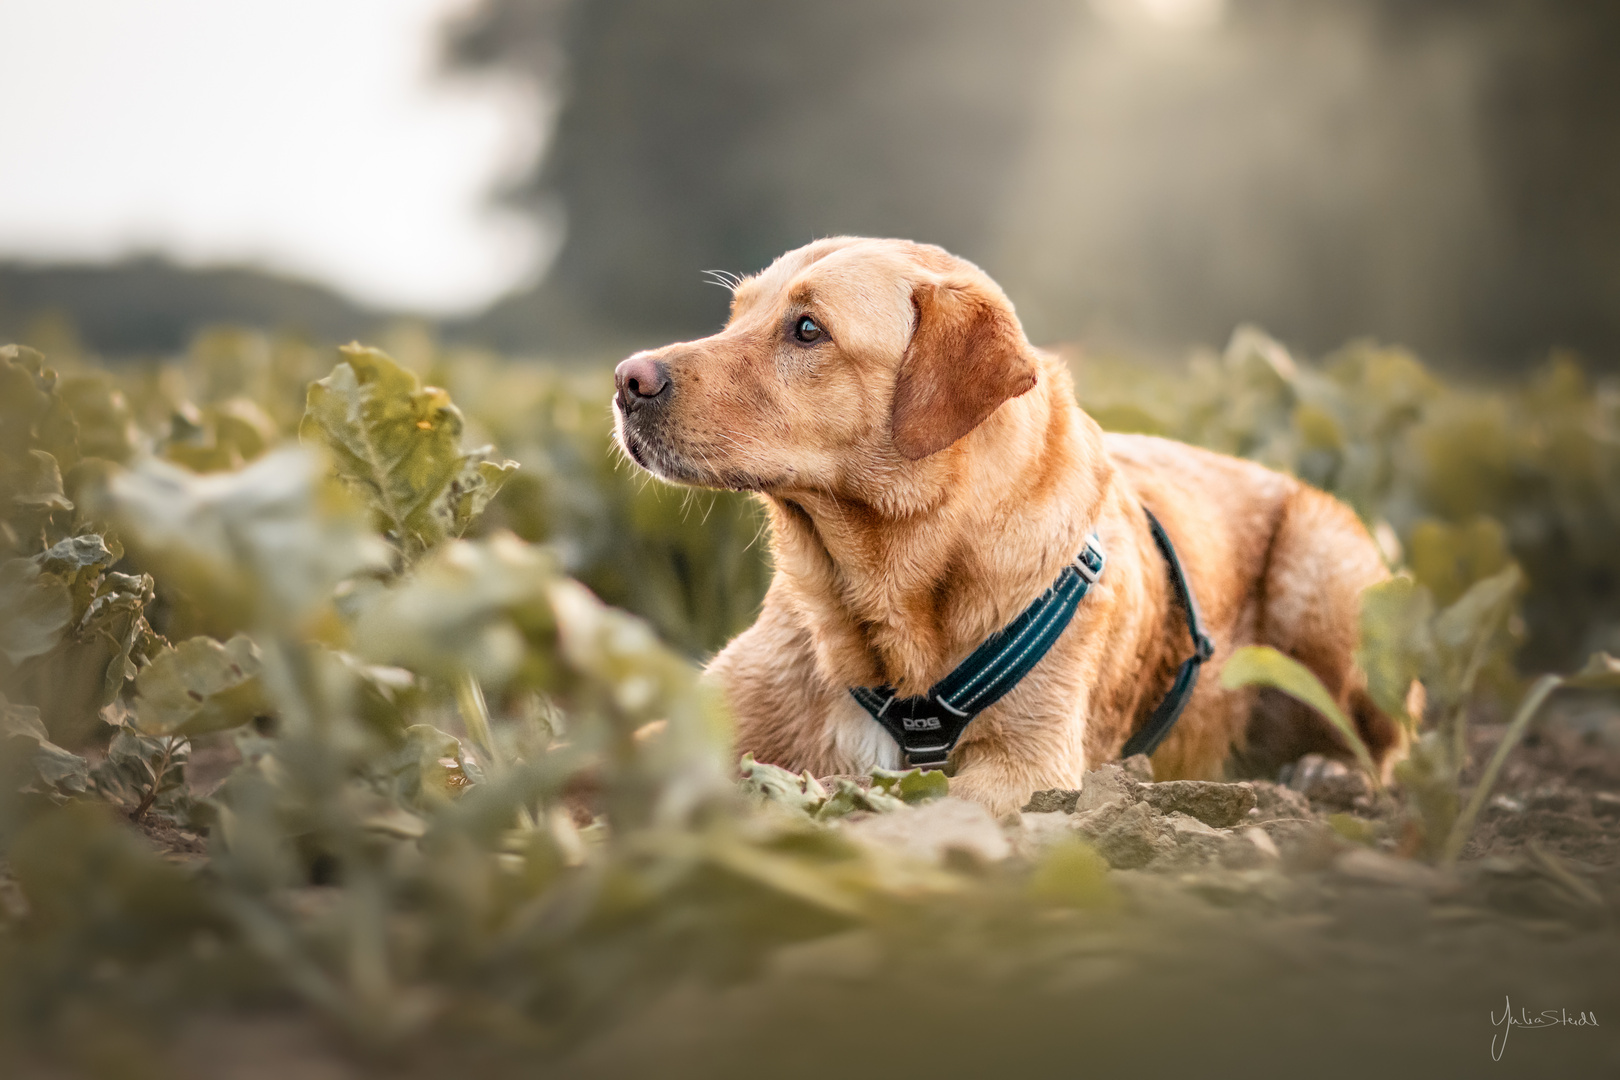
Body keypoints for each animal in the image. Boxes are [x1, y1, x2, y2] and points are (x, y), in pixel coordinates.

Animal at [612, 234, 1399, 809]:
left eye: (808, 329)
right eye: (734, 315)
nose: (626, 379)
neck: (884, 598)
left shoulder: (1031, 767)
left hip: (1325, 576)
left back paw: (1331, 776)